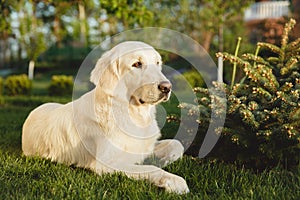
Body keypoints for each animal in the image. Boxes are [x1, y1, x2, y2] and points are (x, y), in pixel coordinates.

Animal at [22, 41, 189, 194]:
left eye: (157, 63)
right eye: (137, 64)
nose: (167, 87)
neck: (131, 113)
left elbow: (176, 144)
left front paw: (166, 159)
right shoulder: (106, 163)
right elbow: (150, 167)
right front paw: (175, 181)